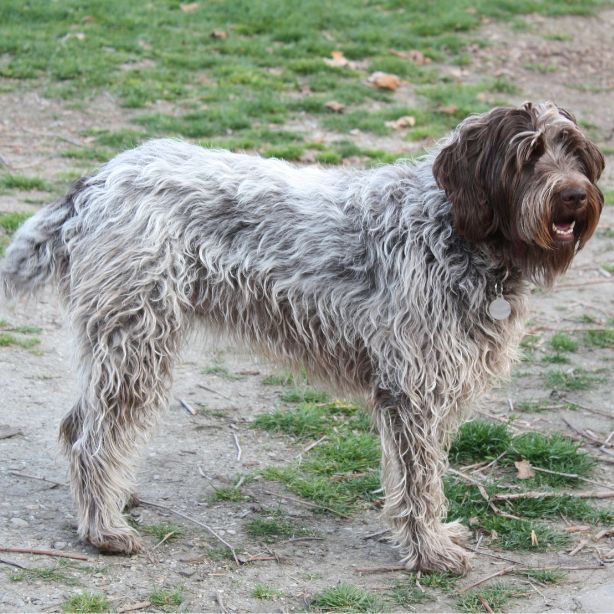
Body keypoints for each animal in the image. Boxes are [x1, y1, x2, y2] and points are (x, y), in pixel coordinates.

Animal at [1, 98, 608, 576]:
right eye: (528, 154)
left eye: (576, 152)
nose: (575, 196)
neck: (455, 229)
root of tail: (97, 181)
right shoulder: (413, 391)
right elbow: (420, 483)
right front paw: (429, 553)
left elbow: (429, 474)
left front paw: (436, 539)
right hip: (137, 340)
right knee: (91, 437)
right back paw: (103, 528)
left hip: (126, 341)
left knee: (80, 425)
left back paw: (113, 500)